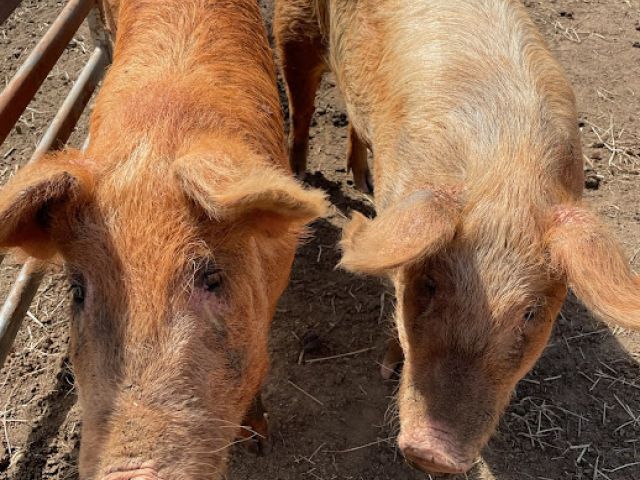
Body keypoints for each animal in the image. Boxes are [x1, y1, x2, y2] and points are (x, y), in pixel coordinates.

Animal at [275, 0, 640, 474]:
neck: (505, 172)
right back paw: (302, 177)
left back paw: (361, 180)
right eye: (429, 285)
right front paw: (386, 368)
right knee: (301, 109)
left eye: (530, 313)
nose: (433, 453)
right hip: (292, 28)